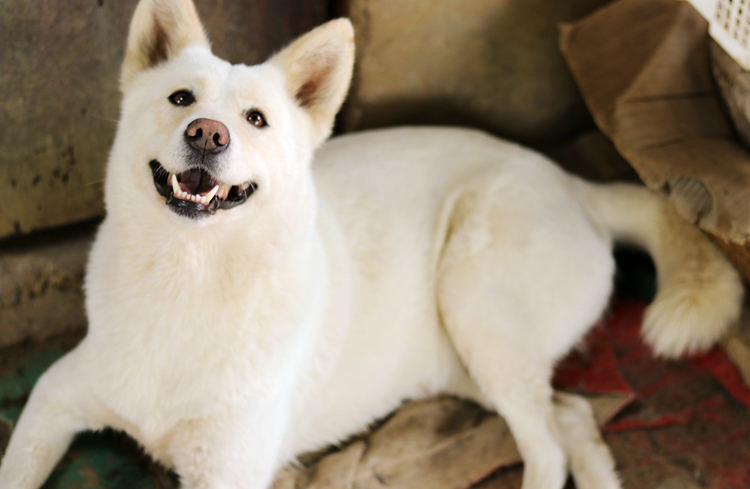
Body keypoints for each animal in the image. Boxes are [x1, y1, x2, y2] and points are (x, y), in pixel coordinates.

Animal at [0, 0, 744, 488]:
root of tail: (576, 183)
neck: (189, 279)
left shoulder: (228, 471)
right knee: (574, 413)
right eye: (182, 98)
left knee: (548, 447)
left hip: (476, 304)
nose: (207, 133)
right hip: (465, 362)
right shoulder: (53, 398)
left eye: (256, 119)